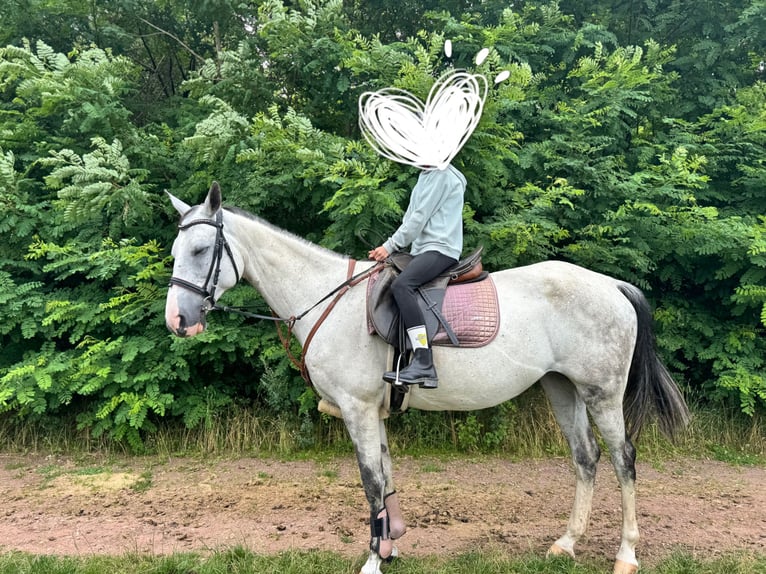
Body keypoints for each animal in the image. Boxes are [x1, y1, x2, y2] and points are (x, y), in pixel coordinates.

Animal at [164, 183, 688, 574]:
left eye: (201, 249)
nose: (178, 321)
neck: (329, 298)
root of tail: (611, 285)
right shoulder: (373, 411)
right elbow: (387, 475)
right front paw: (391, 545)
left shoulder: (357, 410)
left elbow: (371, 482)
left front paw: (373, 560)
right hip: (563, 389)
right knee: (586, 457)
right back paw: (567, 543)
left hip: (603, 393)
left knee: (623, 459)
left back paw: (626, 554)